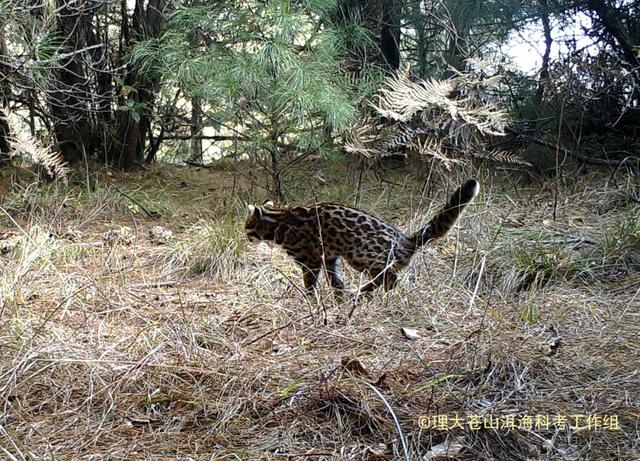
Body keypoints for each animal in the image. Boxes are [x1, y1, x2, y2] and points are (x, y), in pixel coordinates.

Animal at [245, 179, 480, 292]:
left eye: (247, 227)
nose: (246, 237)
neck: (278, 220)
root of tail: (405, 240)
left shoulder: (310, 260)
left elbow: (310, 284)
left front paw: (311, 300)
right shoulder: (329, 256)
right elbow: (336, 281)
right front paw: (339, 297)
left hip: (360, 254)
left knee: (389, 277)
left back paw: (367, 292)